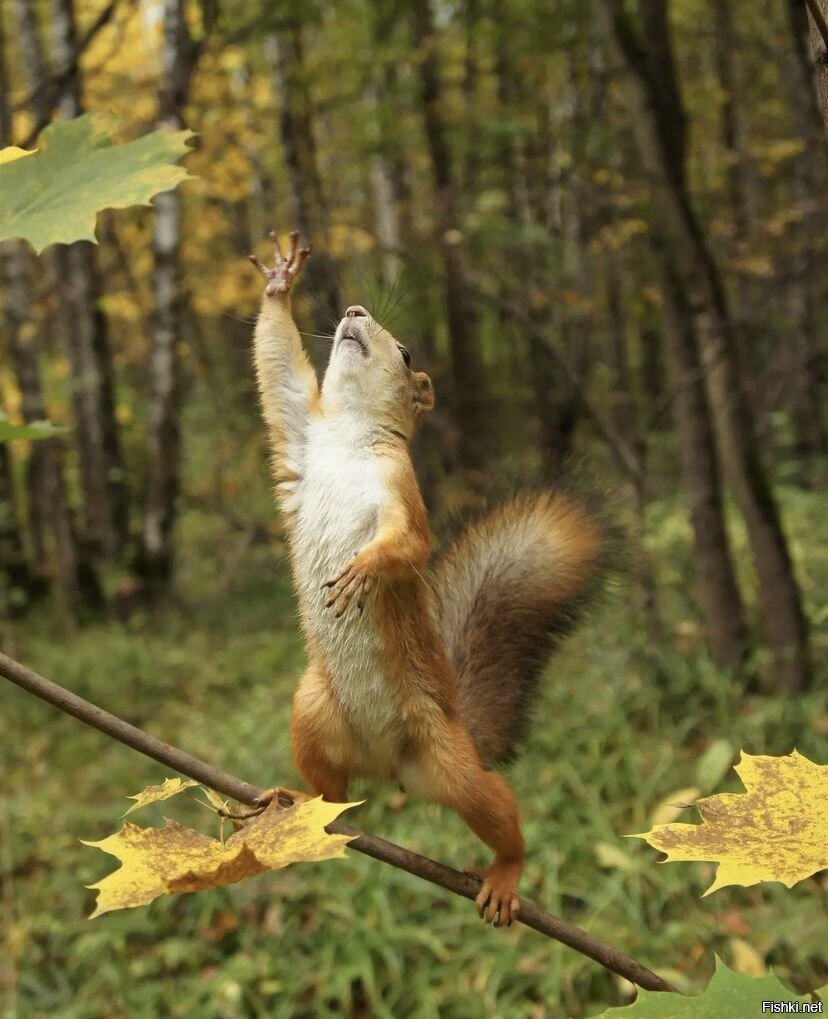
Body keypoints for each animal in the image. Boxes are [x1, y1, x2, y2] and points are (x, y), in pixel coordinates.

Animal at [248, 233, 602, 933]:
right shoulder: (300, 432)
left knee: (496, 811)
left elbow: (408, 545)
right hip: (313, 714)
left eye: (407, 351)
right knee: (333, 793)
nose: (353, 311)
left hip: (452, 765)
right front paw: (279, 284)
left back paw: (505, 875)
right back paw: (299, 803)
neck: (349, 436)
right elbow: (278, 373)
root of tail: (389, 768)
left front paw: (363, 571)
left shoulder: (403, 495)